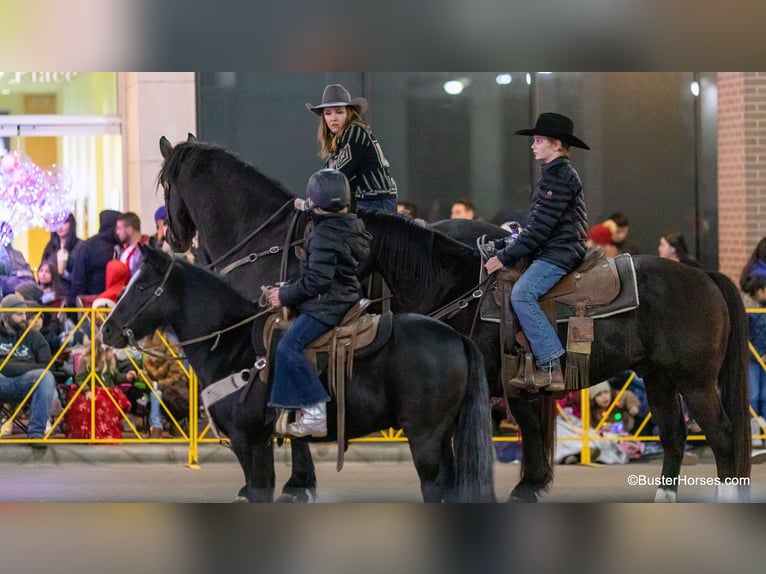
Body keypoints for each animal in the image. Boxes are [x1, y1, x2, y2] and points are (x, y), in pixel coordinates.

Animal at [103, 248, 498, 504]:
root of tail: (456, 337)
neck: (232, 346)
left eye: (141, 286)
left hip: (425, 437)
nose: (107, 330)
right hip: (442, 435)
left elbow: (259, 492)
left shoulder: (250, 442)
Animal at [159, 137, 752, 502]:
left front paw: (294, 482)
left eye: (165, 182)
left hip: (694, 380)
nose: (172, 238)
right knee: (674, 434)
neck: (453, 281)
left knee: (720, 433)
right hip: (659, 377)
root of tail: (703, 274)